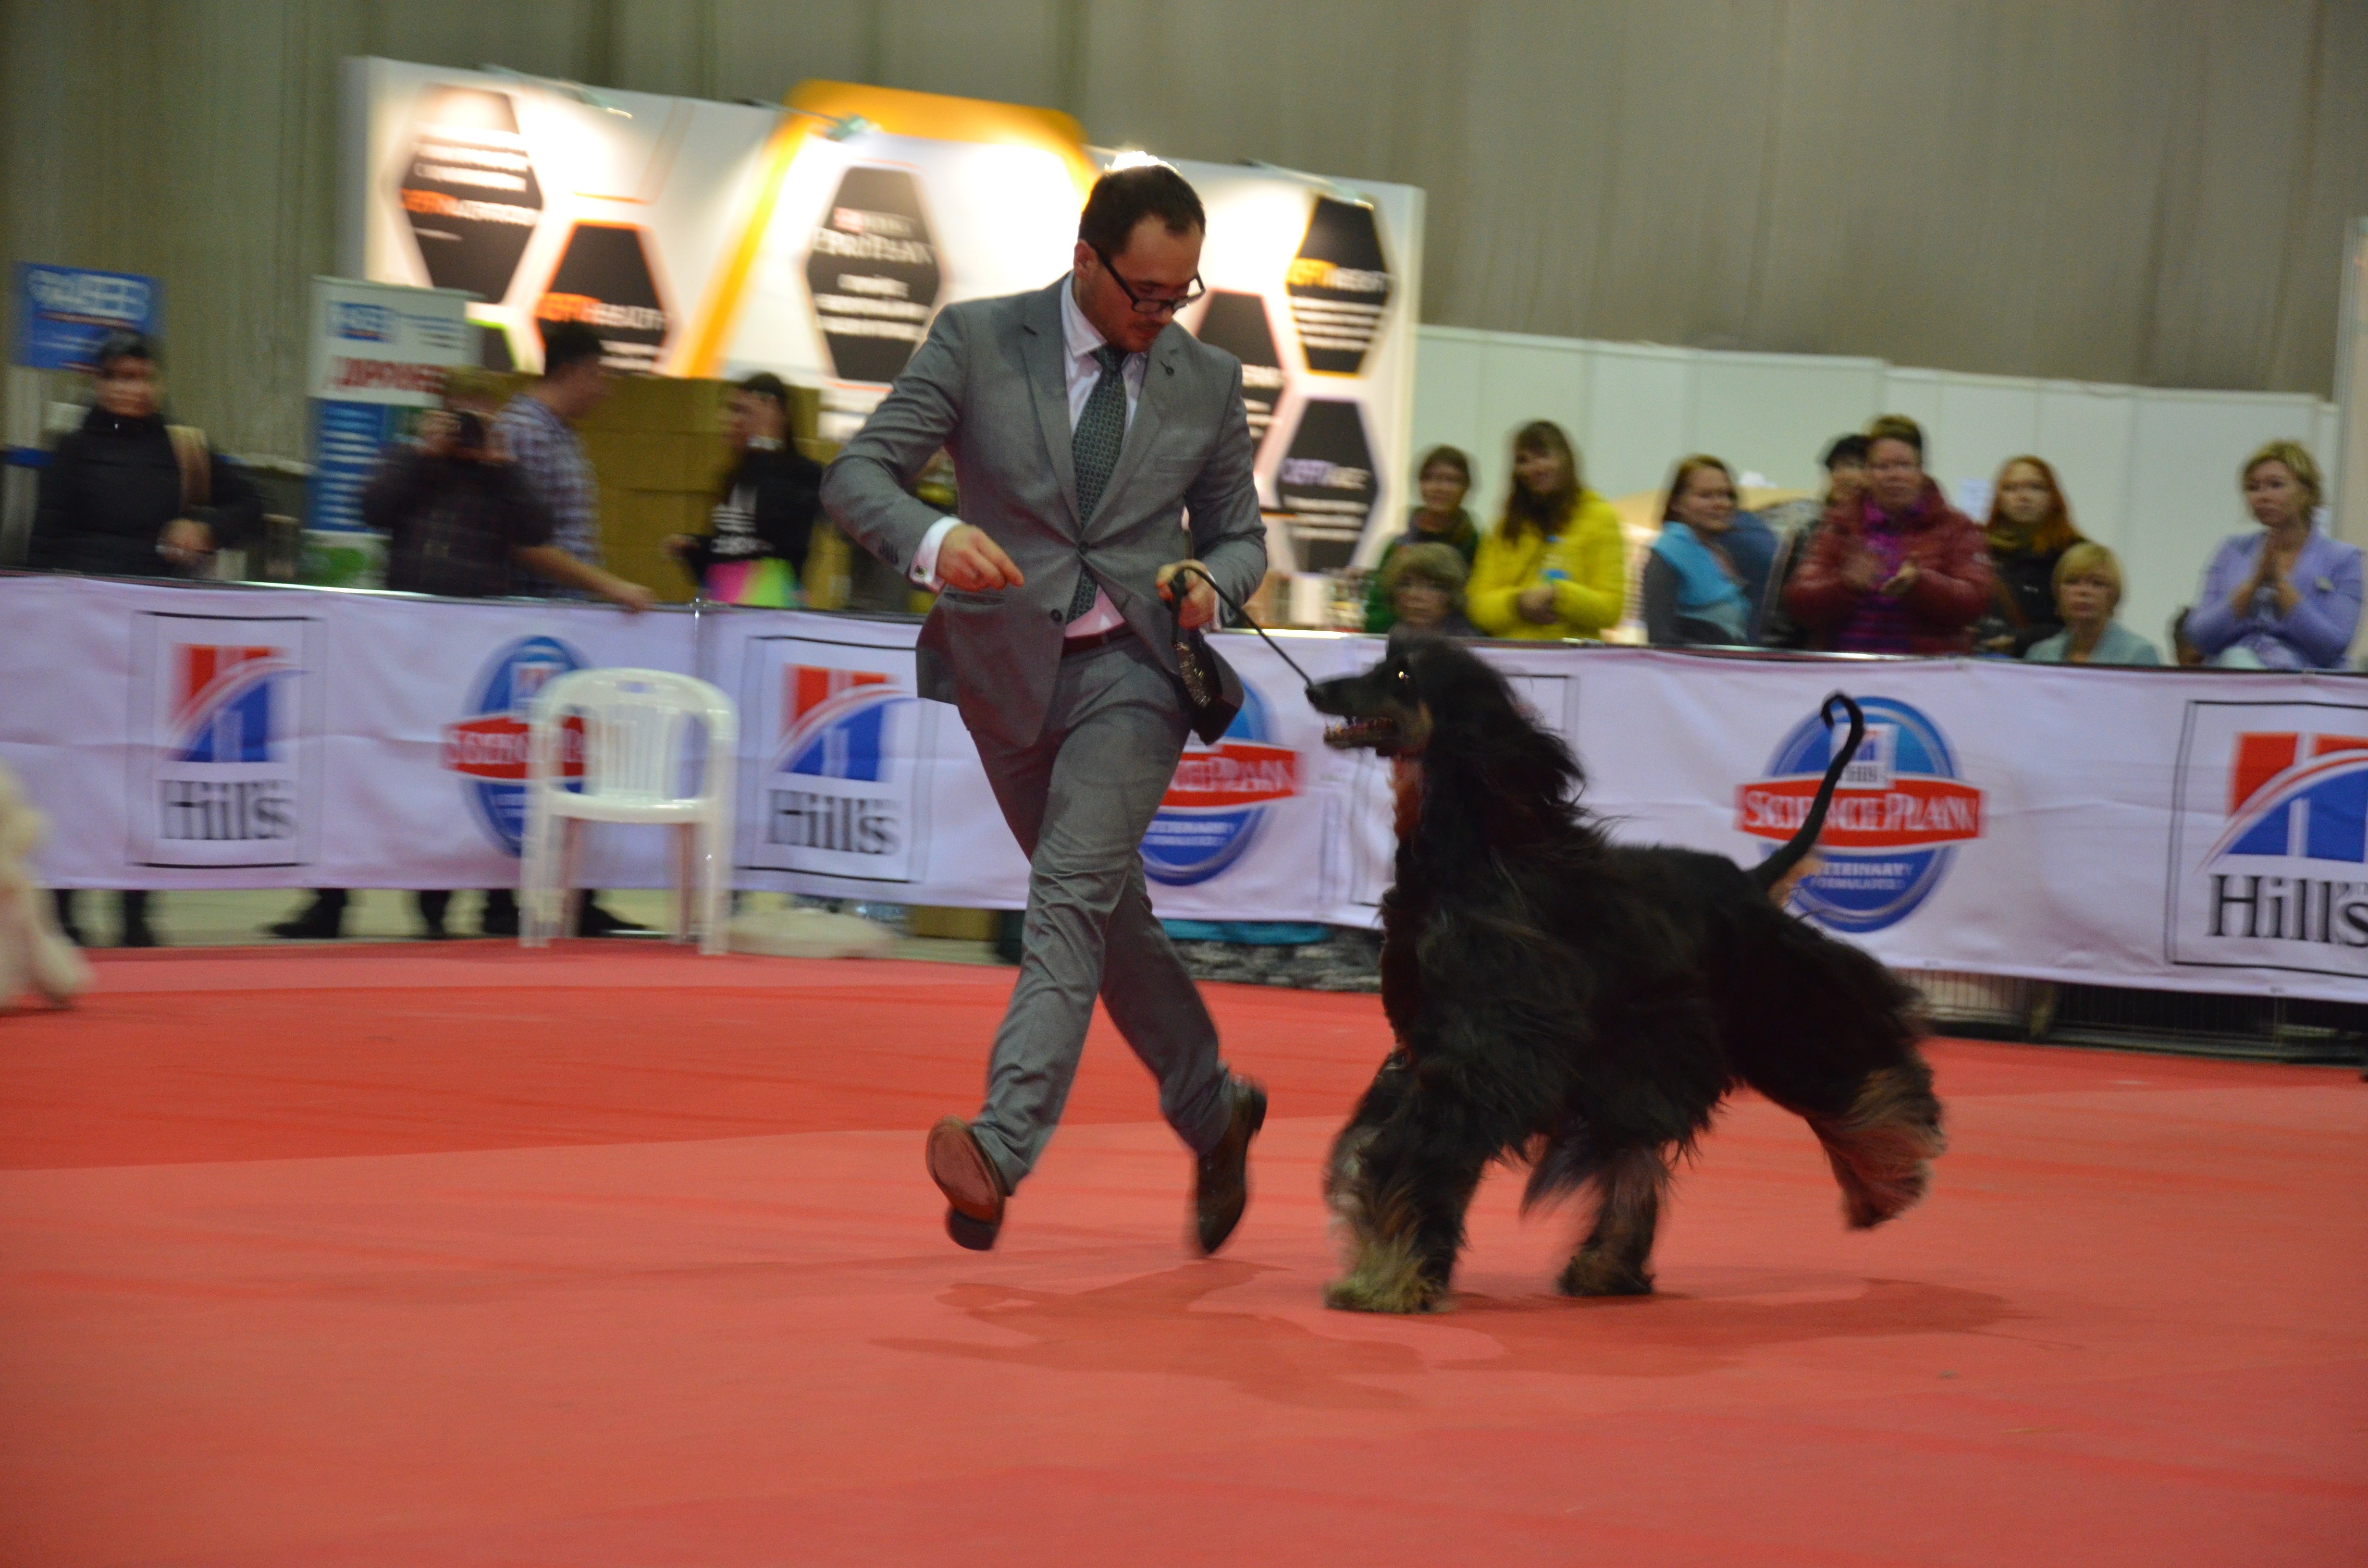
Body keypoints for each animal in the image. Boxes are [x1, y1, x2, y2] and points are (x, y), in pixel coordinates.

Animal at [1306, 637, 1942, 1313]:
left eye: (1400, 674)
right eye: (1382, 662)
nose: (1315, 690)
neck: (1472, 861)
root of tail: (1749, 880)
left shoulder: (1485, 1055)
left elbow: (1409, 1157)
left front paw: (1385, 1278)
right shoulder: (1428, 1051)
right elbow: (1389, 1151)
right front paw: (1405, 1269)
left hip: (1775, 1006)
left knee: (1861, 1072)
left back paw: (1887, 1182)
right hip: (1642, 1056)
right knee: (1635, 1152)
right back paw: (1607, 1267)